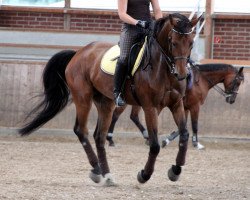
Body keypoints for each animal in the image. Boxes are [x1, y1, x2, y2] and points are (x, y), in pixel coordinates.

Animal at [18, 13, 201, 186]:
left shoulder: (176, 104)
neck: (162, 69)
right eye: (173, 42)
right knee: (81, 130)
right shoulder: (150, 107)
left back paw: (107, 175)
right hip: (83, 98)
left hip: (106, 103)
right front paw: (144, 175)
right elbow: (155, 145)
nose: (181, 74)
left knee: (99, 136)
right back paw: (97, 169)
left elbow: (184, 135)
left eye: (191, 43)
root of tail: (78, 53)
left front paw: (175, 170)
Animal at [106, 62, 244, 148]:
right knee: (118, 115)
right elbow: (194, 125)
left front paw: (166, 140)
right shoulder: (195, 107)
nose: (232, 99)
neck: (201, 80)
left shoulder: (184, 107)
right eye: (237, 81)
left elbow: (182, 126)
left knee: (131, 116)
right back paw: (111, 139)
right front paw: (196, 143)